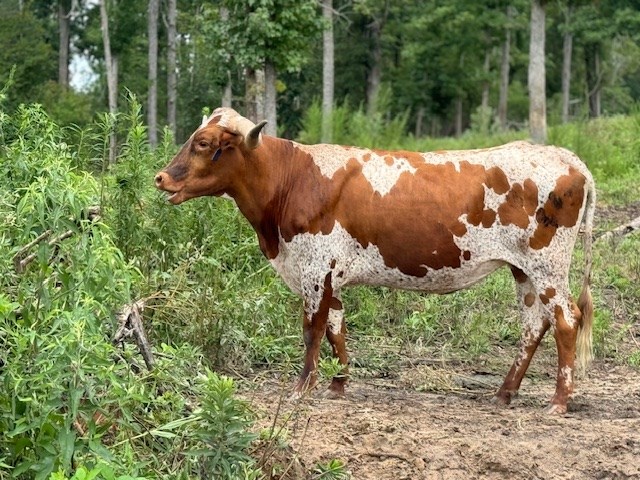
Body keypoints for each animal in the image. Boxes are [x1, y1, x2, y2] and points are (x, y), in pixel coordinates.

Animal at [155, 107, 596, 414]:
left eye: (203, 143)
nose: (161, 177)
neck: (292, 181)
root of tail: (569, 159)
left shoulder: (315, 270)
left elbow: (312, 330)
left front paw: (302, 389)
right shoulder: (328, 275)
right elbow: (336, 328)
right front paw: (338, 384)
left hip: (547, 265)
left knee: (565, 320)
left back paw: (558, 401)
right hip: (523, 269)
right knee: (534, 324)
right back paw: (504, 392)